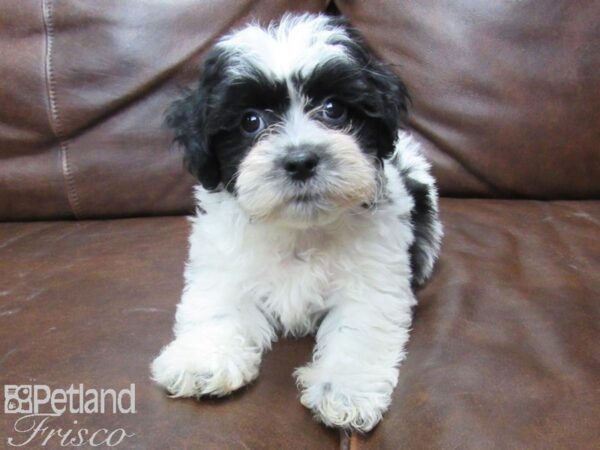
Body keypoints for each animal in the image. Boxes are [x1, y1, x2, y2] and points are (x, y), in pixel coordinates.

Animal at [150, 12, 440, 430]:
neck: (300, 229)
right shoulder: (222, 265)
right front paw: (202, 360)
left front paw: (345, 390)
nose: (301, 160)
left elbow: (358, 330)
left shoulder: (373, 278)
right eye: (250, 120)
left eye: (333, 109)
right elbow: (215, 306)